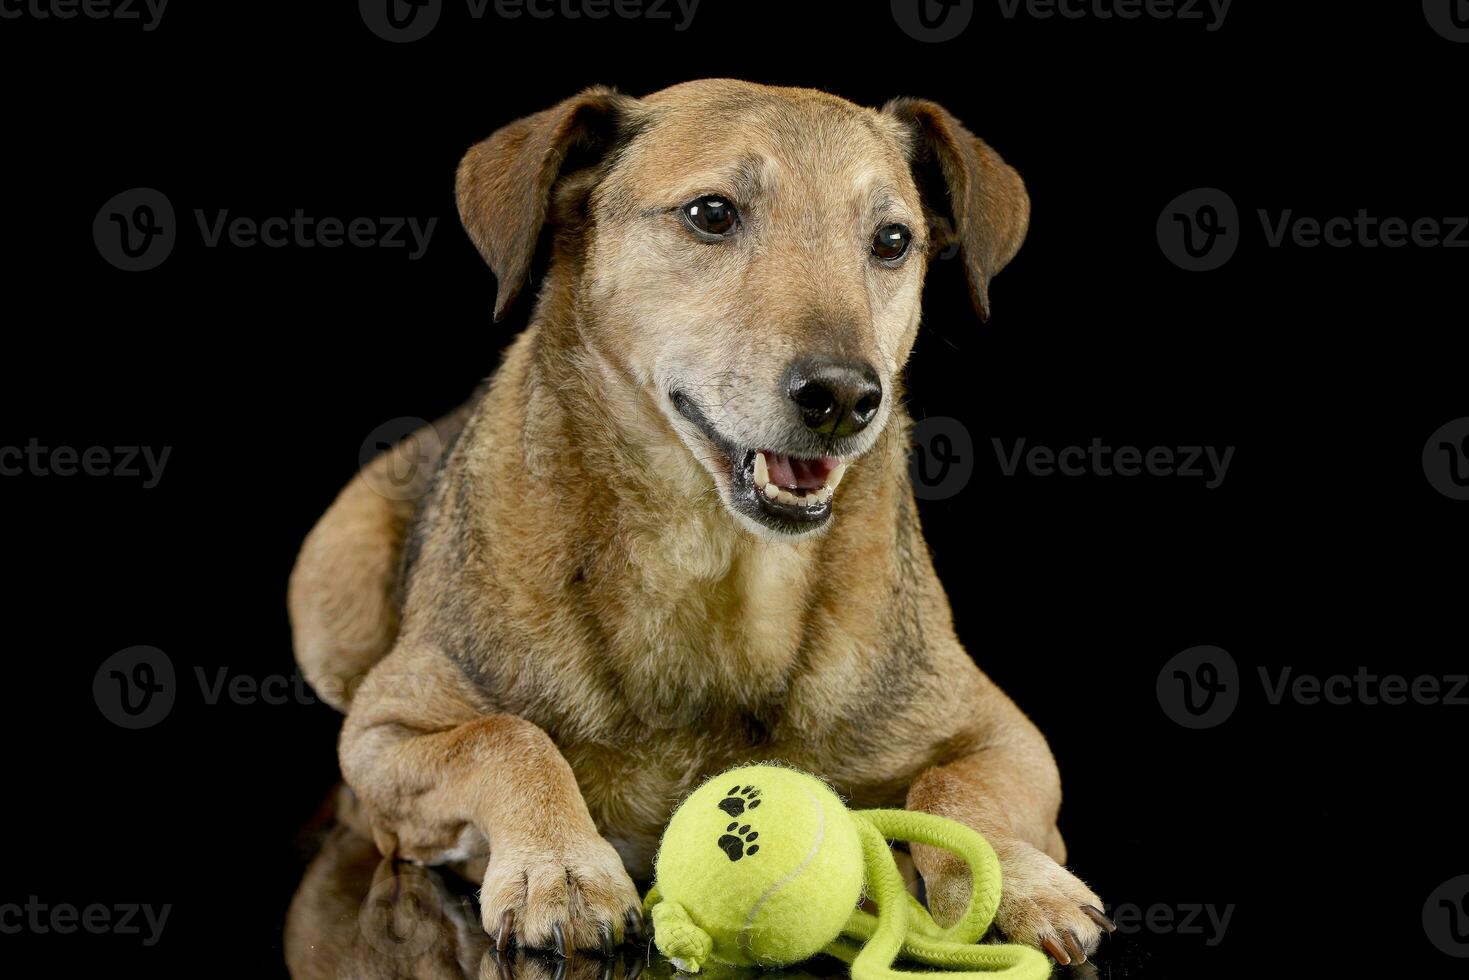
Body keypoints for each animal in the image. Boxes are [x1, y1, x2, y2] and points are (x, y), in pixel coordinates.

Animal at [286, 80, 1110, 969]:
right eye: (711, 213)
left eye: (892, 240)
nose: (844, 396)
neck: (717, 569)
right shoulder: (385, 731)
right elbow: (506, 737)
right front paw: (560, 866)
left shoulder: (1001, 733)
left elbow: (955, 787)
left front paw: (1010, 878)